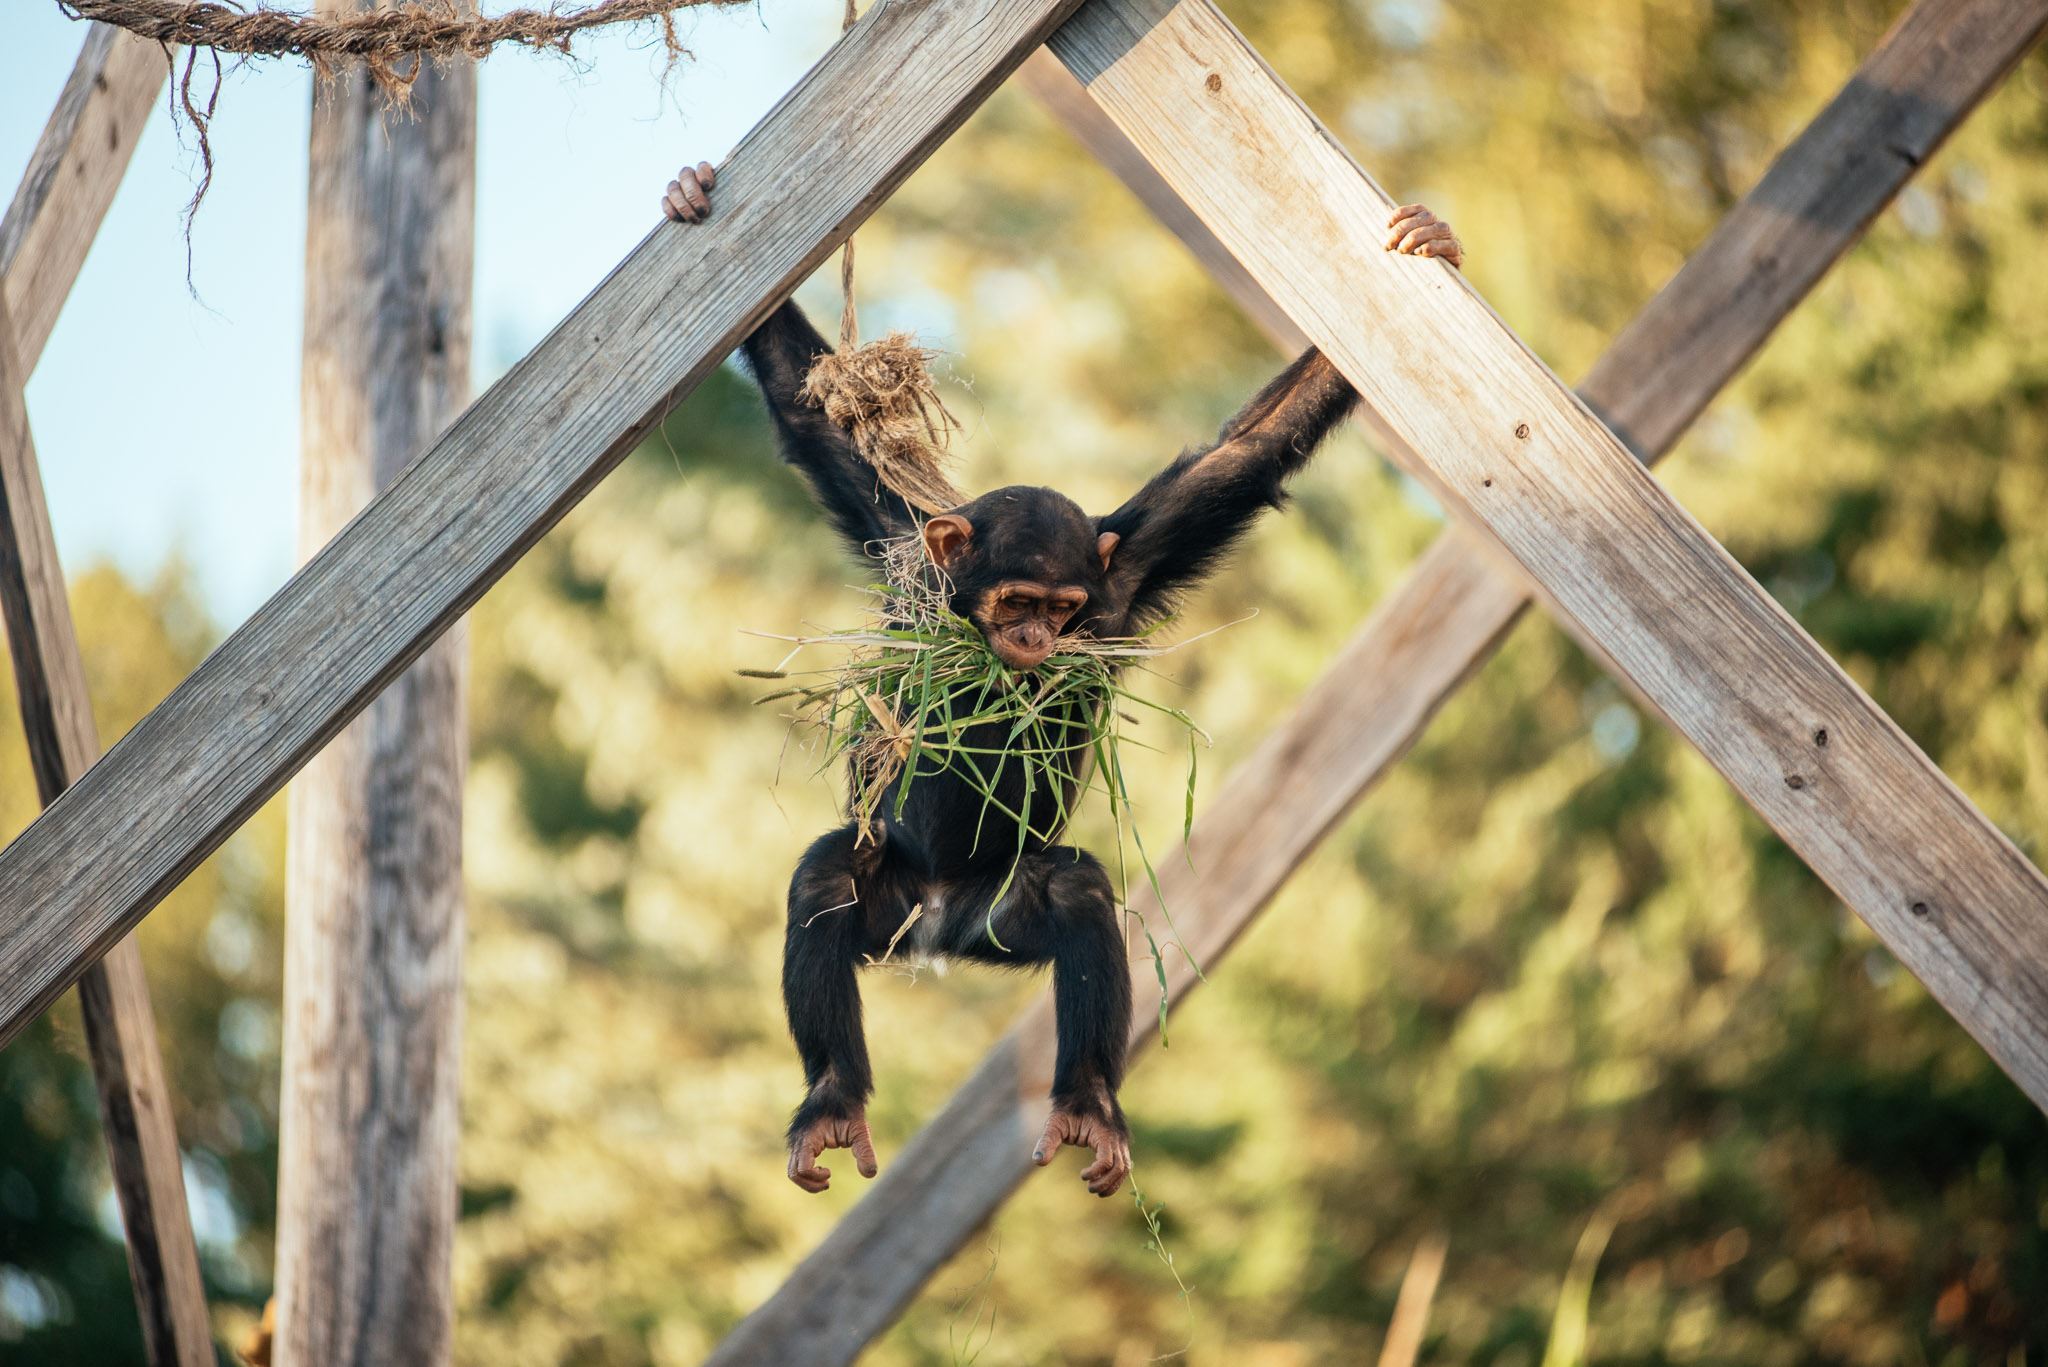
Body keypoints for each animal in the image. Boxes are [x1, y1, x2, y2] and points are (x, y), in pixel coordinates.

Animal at [662, 159, 1461, 1198]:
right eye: (1013, 599)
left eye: (1062, 604)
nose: (1036, 636)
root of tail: (941, 929)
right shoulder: (901, 544)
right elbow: (815, 412)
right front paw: (691, 196)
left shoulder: (1125, 577)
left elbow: (1247, 453)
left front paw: (1429, 236)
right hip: (894, 901)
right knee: (826, 878)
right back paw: (834, 1098)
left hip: (1006, 910)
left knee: (1079, 895)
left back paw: (1084, 1101)